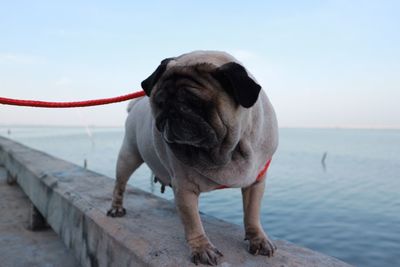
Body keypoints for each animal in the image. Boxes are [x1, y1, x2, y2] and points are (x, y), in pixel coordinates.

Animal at [108, 51, 280, 266]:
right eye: (160, 103)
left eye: (195, 103)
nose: (172, 110)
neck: (226, 153)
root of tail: (135, 105)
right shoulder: (184, 187)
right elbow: (193, 223)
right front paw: (202, 249)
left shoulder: (256, 181)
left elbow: (252, 214)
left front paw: (258, 239)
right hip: (129, 155)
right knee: (120, 184)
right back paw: (116, 208)